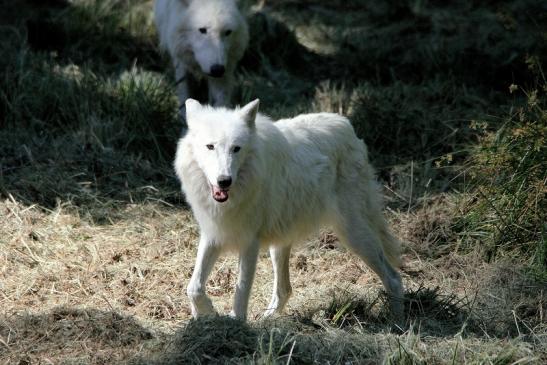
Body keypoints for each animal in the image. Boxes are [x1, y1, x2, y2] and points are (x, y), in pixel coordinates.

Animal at [176, 98, 406, 320]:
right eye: (210, 146)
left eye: (236, 148)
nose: (224, 181)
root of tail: (347, 126)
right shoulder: (213, 234)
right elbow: (193, 287)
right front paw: (205, 314)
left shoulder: (250, 241)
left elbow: (241, 290)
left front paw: (236, 323)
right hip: (280, 244)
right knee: (285, 290)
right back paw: (267, 318)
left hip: (353, 236)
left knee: (394, 277)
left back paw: (397, 320)